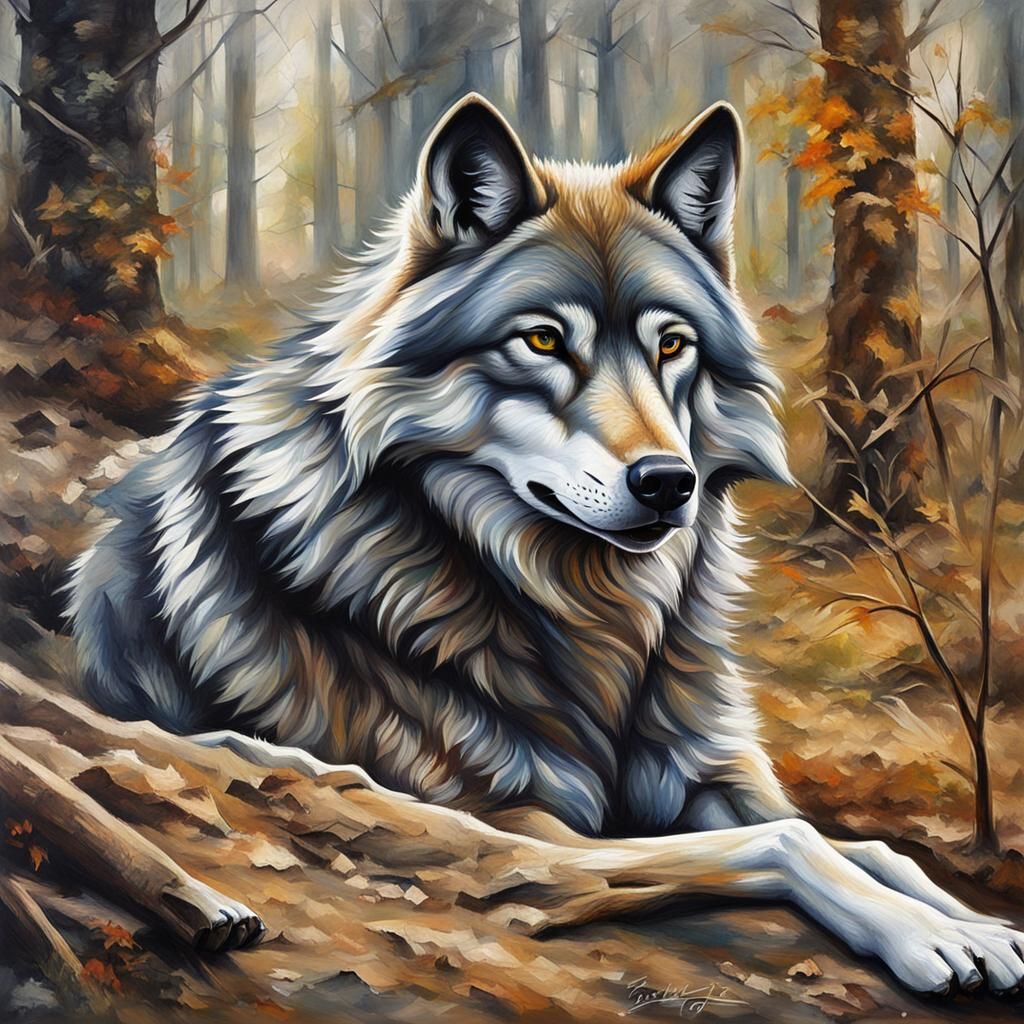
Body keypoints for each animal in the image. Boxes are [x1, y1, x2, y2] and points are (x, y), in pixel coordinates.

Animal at [70, 95, 1024, 994]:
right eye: (541, 340)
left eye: (671, 345)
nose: (668, 483)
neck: (590, 619)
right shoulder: (513, 830)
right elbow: (789, 840)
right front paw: (935, 936)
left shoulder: (706, 774)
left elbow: (869, 848)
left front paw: (974, 920)